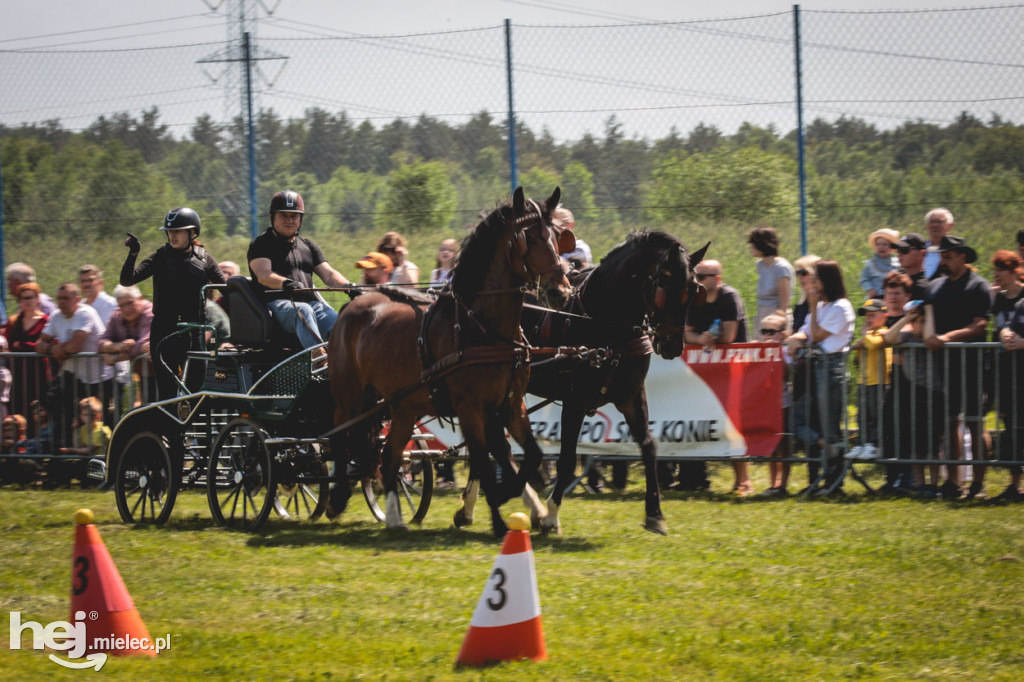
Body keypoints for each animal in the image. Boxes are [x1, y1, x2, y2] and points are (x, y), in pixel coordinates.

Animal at [323, 187, 573, 536]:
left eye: (556, 236)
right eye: (530, 238)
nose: (561, 292)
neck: (481, 327)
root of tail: (351, 306)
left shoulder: (511, 405)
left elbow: (530, 455)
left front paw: (514, 500)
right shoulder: (470, 408)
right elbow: (484, 461)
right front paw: (498, 519)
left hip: (402, 406)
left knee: (388, 457)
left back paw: (395, 517)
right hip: (350, 398)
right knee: (342, 438)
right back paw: (337, 499)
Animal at [452, 231, 708, 532]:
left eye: (694, 290)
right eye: (664, 285)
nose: (672, 345)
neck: (603, 324)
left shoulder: (631, 396)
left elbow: (648, 447)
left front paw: (655, 514)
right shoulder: (574, 402)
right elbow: (566, 459)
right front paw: (551, 515)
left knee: (490, 446)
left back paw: (472, 506)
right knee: (493, 447)